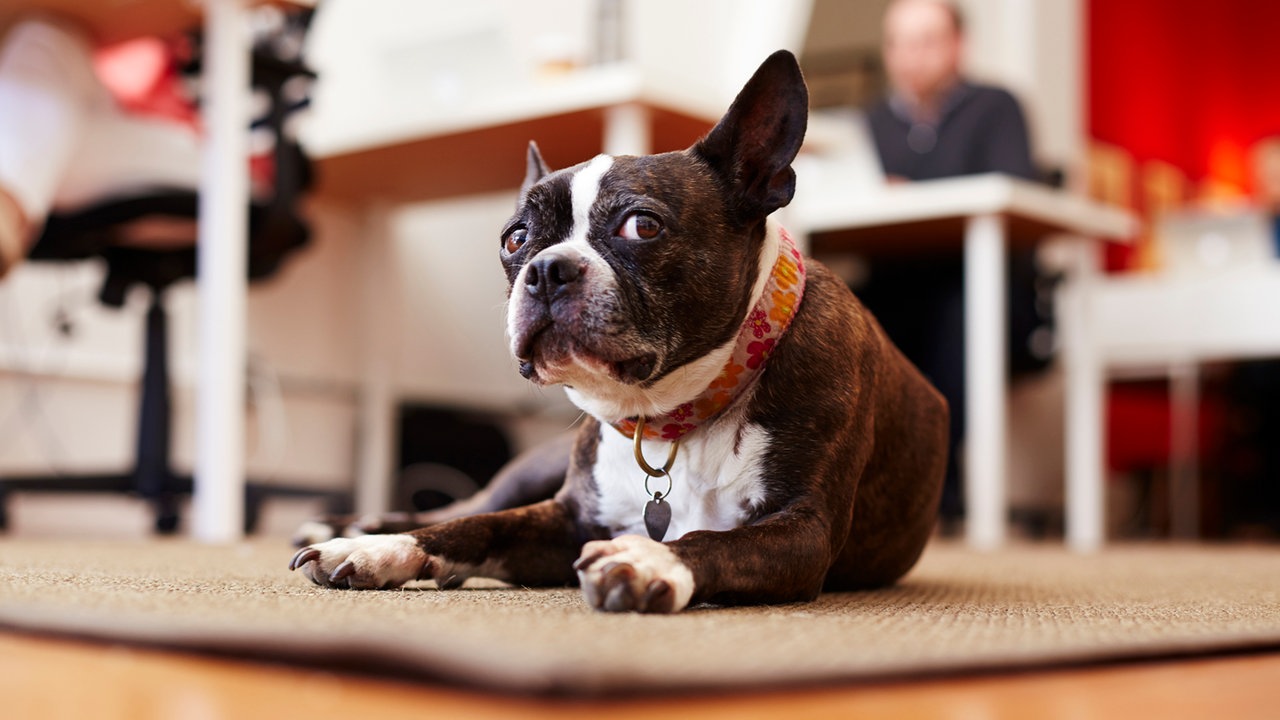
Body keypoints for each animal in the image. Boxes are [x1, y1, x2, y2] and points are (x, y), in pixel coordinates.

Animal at [293, 50, 952, 609]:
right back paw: (355, 525)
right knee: (467, 503)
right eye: (515, 239)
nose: (546, 270)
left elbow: (711, 541)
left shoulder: (803, 532)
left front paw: (648, 559)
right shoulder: (566, 517)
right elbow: (472, 527)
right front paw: (380, 551)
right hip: (532, 471)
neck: (670, 419)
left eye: (642, 226)